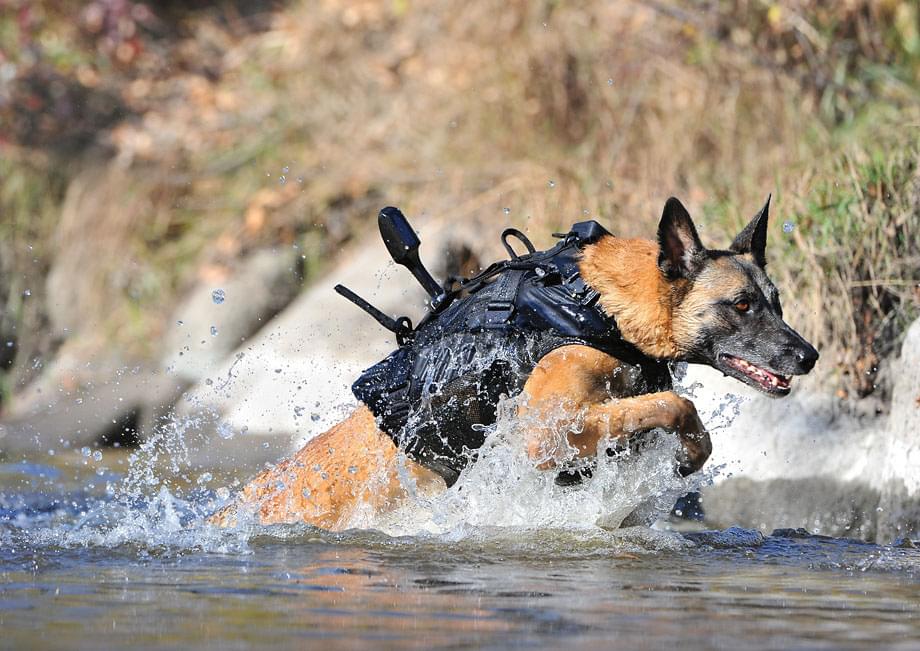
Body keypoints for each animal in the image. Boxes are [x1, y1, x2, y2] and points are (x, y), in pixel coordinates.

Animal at [210, 196, 820, 528]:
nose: (809, 355)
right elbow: (675, 402)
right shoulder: (545, 430)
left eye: (777, 303)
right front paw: (690, 453)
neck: (598, 304)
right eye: (741, 305)